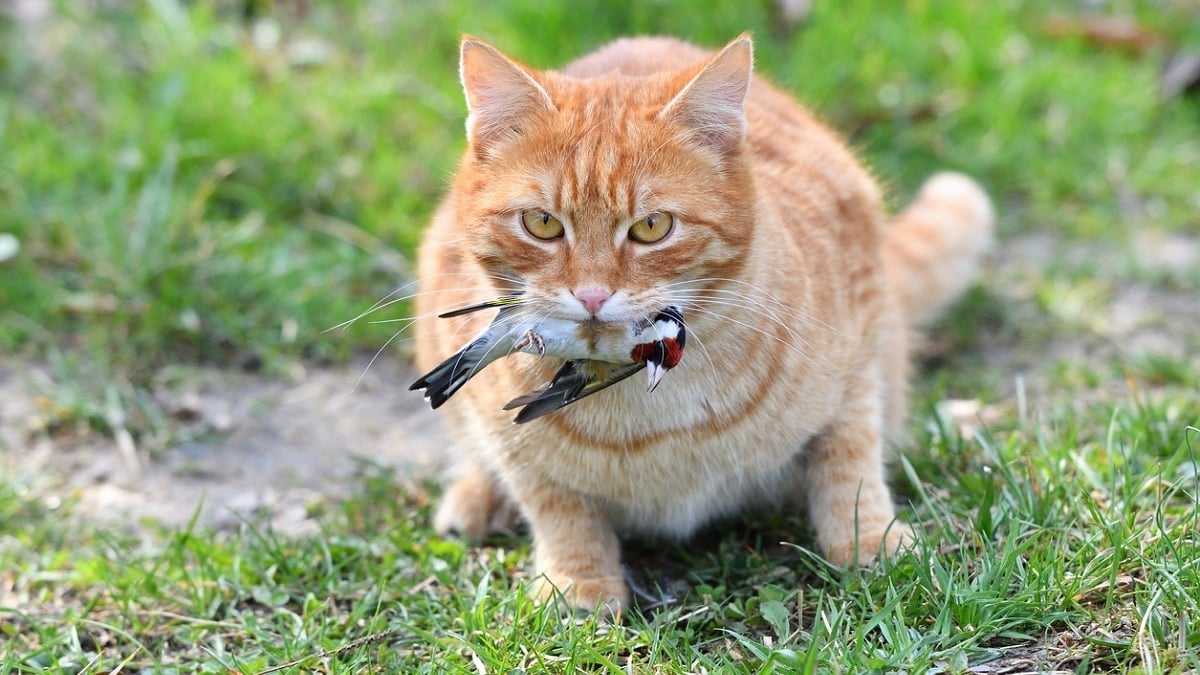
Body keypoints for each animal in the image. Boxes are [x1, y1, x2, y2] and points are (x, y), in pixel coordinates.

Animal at [412, 31, 993, 612]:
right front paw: (578, 584)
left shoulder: (859, 353)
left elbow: (850, 463)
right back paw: (476, 497)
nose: (592, 295)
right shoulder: (511, 441)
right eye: (542, 223)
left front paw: (870, 541)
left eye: (652, 227)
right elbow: (557, 507)